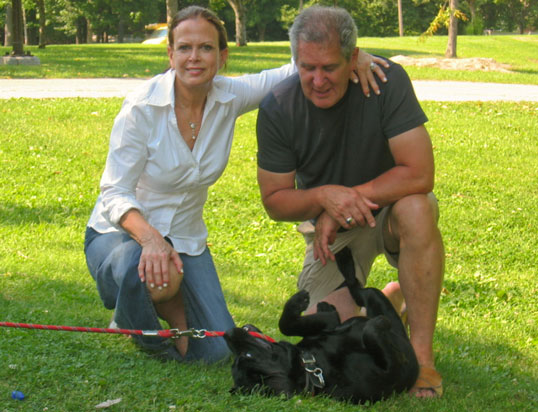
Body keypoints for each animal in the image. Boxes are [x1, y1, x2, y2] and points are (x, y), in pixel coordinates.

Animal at [224, 248, 416, 402]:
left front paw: (300, 305)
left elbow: (286, 325)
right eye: (246, 355)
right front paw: (379, 322)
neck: (314, 367)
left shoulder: (323, 329)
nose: (228, 333)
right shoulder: (393, 369)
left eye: (241, 357)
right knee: (358, 288)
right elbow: (370, 331)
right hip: (376, 297)